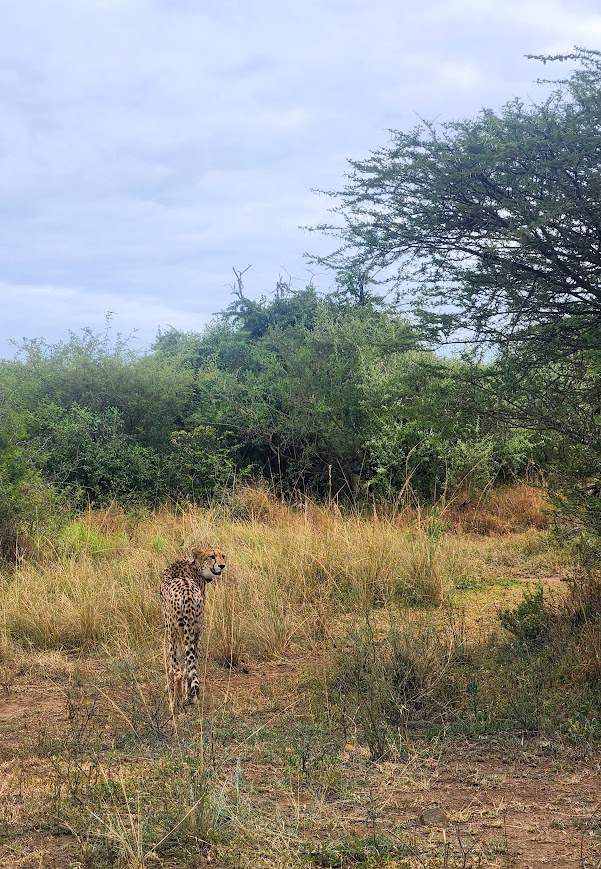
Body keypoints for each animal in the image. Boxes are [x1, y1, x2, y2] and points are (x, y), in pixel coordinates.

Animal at [160, 546, 227, 705]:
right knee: (187, 665)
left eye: (223, 556)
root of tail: (187, 594)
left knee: (179, 669)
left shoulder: (175, 633)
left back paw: (177, 701)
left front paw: (171, 689)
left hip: (175, 632)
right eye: (212, 556)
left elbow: (175, 666)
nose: (222, 566)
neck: (195, 566)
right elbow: (186, 666)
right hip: (193, 630)